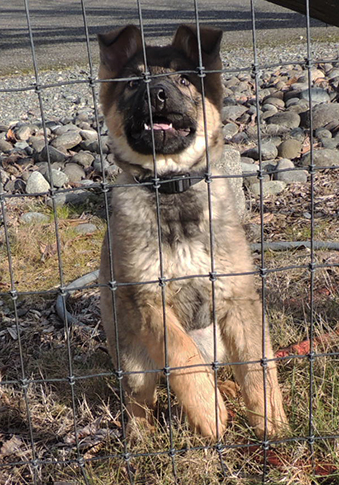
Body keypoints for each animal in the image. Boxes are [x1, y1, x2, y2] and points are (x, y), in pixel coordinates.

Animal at [97, 23, 288, 438]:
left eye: (184, 79)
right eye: (133, 83)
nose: (156, 93)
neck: (172, 188)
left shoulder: (238, 297)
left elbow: (258, 366)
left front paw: (272, 423)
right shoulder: (149, 300)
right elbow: (183, 356)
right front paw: (207, 411)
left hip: (215, 337)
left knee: (223, 368)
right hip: (135, 361)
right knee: (140, 398)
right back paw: (141, 437)